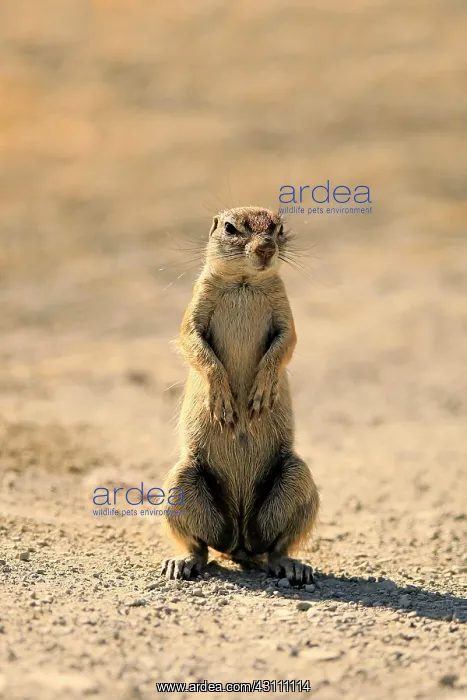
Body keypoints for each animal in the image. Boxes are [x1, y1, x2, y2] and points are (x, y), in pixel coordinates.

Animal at [160, 206, 320, 585]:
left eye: (279, 228)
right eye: (231, 228)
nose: (265, 249)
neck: (244, 283)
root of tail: (241, 539)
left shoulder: (284, 309)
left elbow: (286, 343)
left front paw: (261, 392)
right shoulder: (196, 304)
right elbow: (192, 342)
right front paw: (223, 403)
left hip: (296, 478)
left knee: (276, 546)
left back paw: (293, 567)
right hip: (180, 483)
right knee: (201, 546)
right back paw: (182, 563)